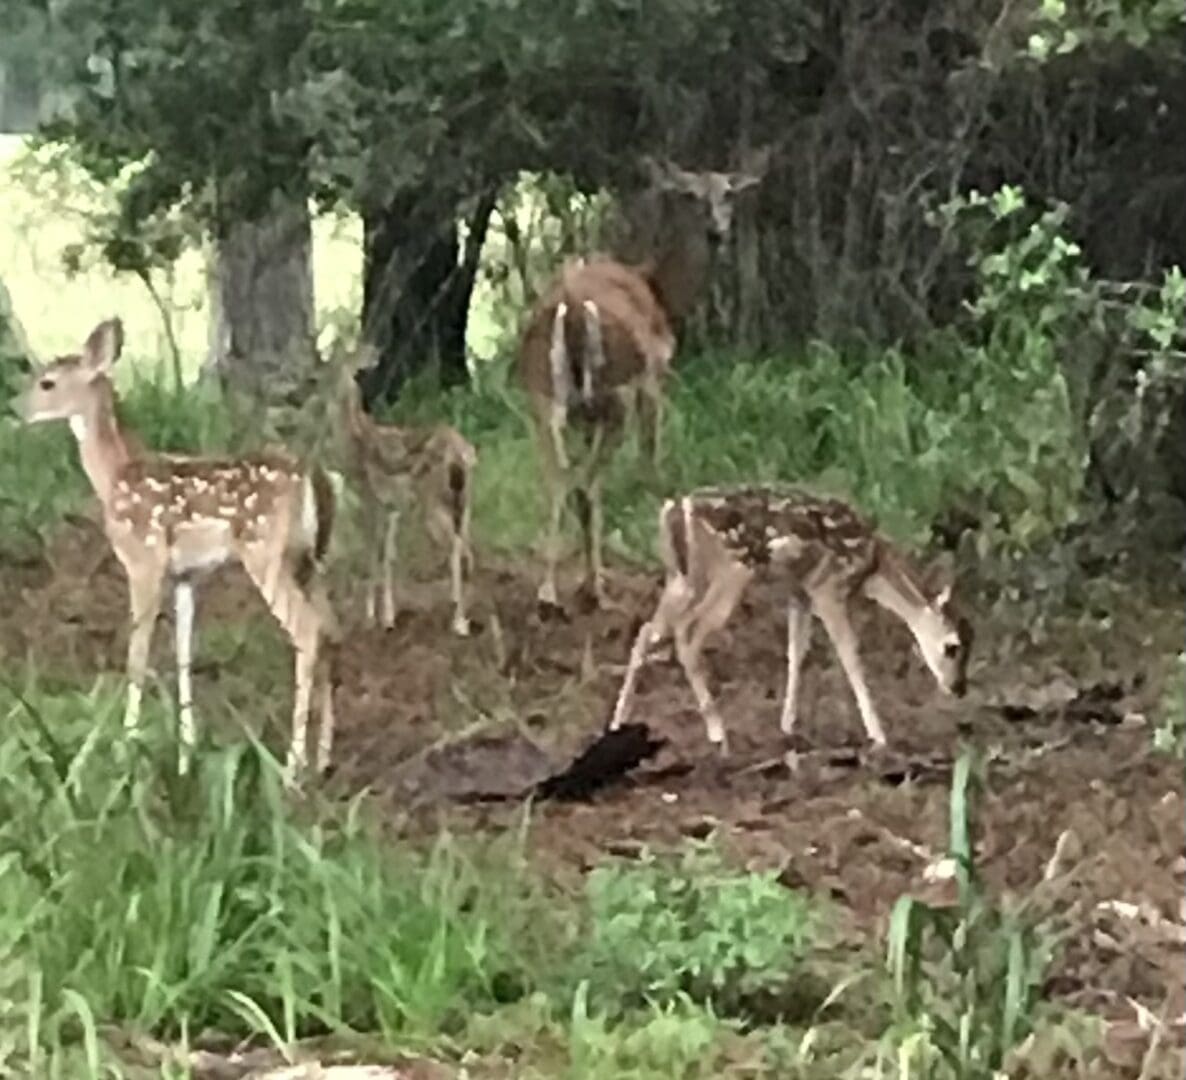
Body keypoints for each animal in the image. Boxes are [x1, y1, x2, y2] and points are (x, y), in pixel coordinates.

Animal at [18, 317, 343, 782]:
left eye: (47, 382)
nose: (18, 409)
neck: (115, 476)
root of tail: (312, 475)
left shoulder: (144, 560)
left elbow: (137, 655)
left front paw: (126, 747)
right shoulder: (186, 575)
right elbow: (184, 653)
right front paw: (185, 751)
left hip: (267, 553)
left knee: (308, 631)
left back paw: (291, 766)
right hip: (311, 560)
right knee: (333, 630)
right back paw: (323, 758)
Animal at [324, 341, 476, 635]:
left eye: (338, 362)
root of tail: (461, 454)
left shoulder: (370, 498)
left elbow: (373, 552)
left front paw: (371, 618)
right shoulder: (392, 506)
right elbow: (390, 556)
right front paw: (388, 617)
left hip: (434, 502)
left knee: (455, 545)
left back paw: (458, 621)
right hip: (463, 502)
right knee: (467, 546)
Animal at [519, 151, 768, 611]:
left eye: (728, 193)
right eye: (690, 195)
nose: (717, 232)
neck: (661, 294)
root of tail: (573, 308)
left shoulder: (583, 414)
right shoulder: (654, 379)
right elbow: (651, 463)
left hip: (542, 394)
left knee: (560, 477)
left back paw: (550, 592)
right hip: (616, 392)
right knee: (589, 483)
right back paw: (593, 589)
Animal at [611, 486, 972, 753]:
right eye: (952, 646)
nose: (959, 688)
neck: (871, 568)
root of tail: (673, 511)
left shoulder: (799, 592)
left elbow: (798, 652)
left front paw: (788, 726)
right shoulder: (827, 587)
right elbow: (850, 655)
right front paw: (879, 735)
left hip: (680, 578)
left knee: (647, 631)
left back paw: (617, 724)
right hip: (730, 571)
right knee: (688, 634)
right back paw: (718, 733)